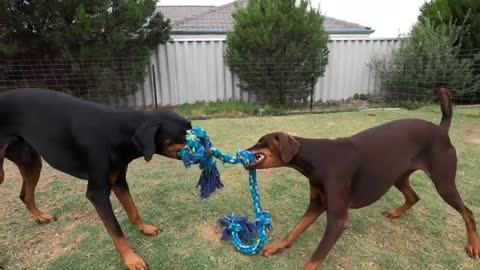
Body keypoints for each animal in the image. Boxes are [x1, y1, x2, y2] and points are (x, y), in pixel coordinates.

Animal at [0, 87, 191, 268]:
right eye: (184, 134)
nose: (205, 148)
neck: (118, 132)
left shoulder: (119, 182)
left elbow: (133, 210)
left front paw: (145, 229)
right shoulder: (98, 194)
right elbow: (117, 231)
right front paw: (131, 260)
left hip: (30, 161)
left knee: (25, 195)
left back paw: (41, 217)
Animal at [246, 88, 478, 268]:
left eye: (261, 142)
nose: (243, 151)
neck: (318, 159)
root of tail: (442, 129)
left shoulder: (338, 220)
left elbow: (315, 258)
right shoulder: (317, 204)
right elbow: (295, 230)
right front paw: (277, 246)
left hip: (443, 182)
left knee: (467, 212)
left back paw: (473, 245)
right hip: (398, 176)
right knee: (414, 197)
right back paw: (396, 212)